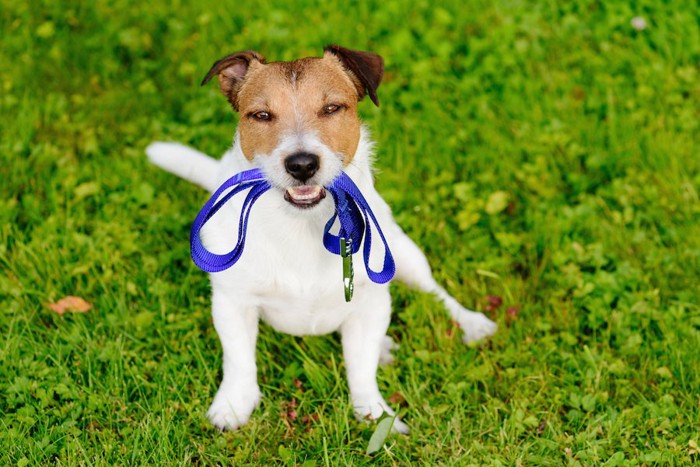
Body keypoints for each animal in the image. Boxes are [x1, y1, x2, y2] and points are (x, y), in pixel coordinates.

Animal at [146, 45, 498, 434]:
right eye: (261, 115)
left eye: (331, 108)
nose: (301, 164)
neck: (303, 224)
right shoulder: (232, 302)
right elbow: (239, 360)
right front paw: (233, 406)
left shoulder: (371, 300)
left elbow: (361, 369)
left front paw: (376, 414)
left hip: (405, 256)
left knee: (435, 292)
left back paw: (470, 323)